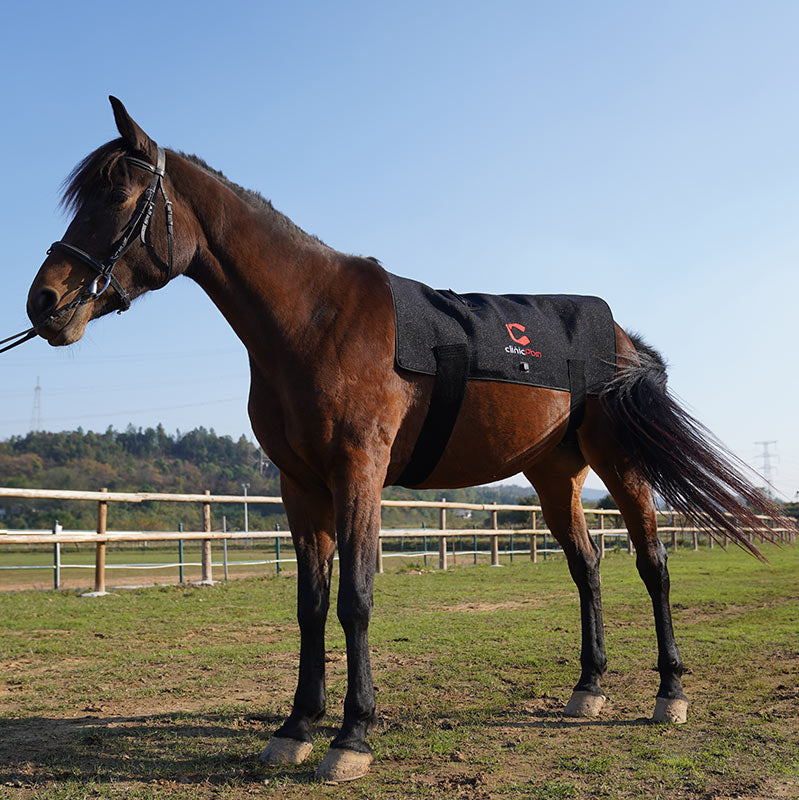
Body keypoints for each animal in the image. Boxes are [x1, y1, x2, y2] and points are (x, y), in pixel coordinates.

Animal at [22, 97, 792, 783]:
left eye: (121, 198)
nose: (45, 302)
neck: (312, 319)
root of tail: (626, 342)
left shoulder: (357, 473)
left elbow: (355, 598)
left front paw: (351, 737)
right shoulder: (300, 487)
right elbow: (309, 603)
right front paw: (295, 727)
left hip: (621, 466)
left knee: (653, 567)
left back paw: (669, 693)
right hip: (554, 477)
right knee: (588, 568)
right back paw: (588, 689)